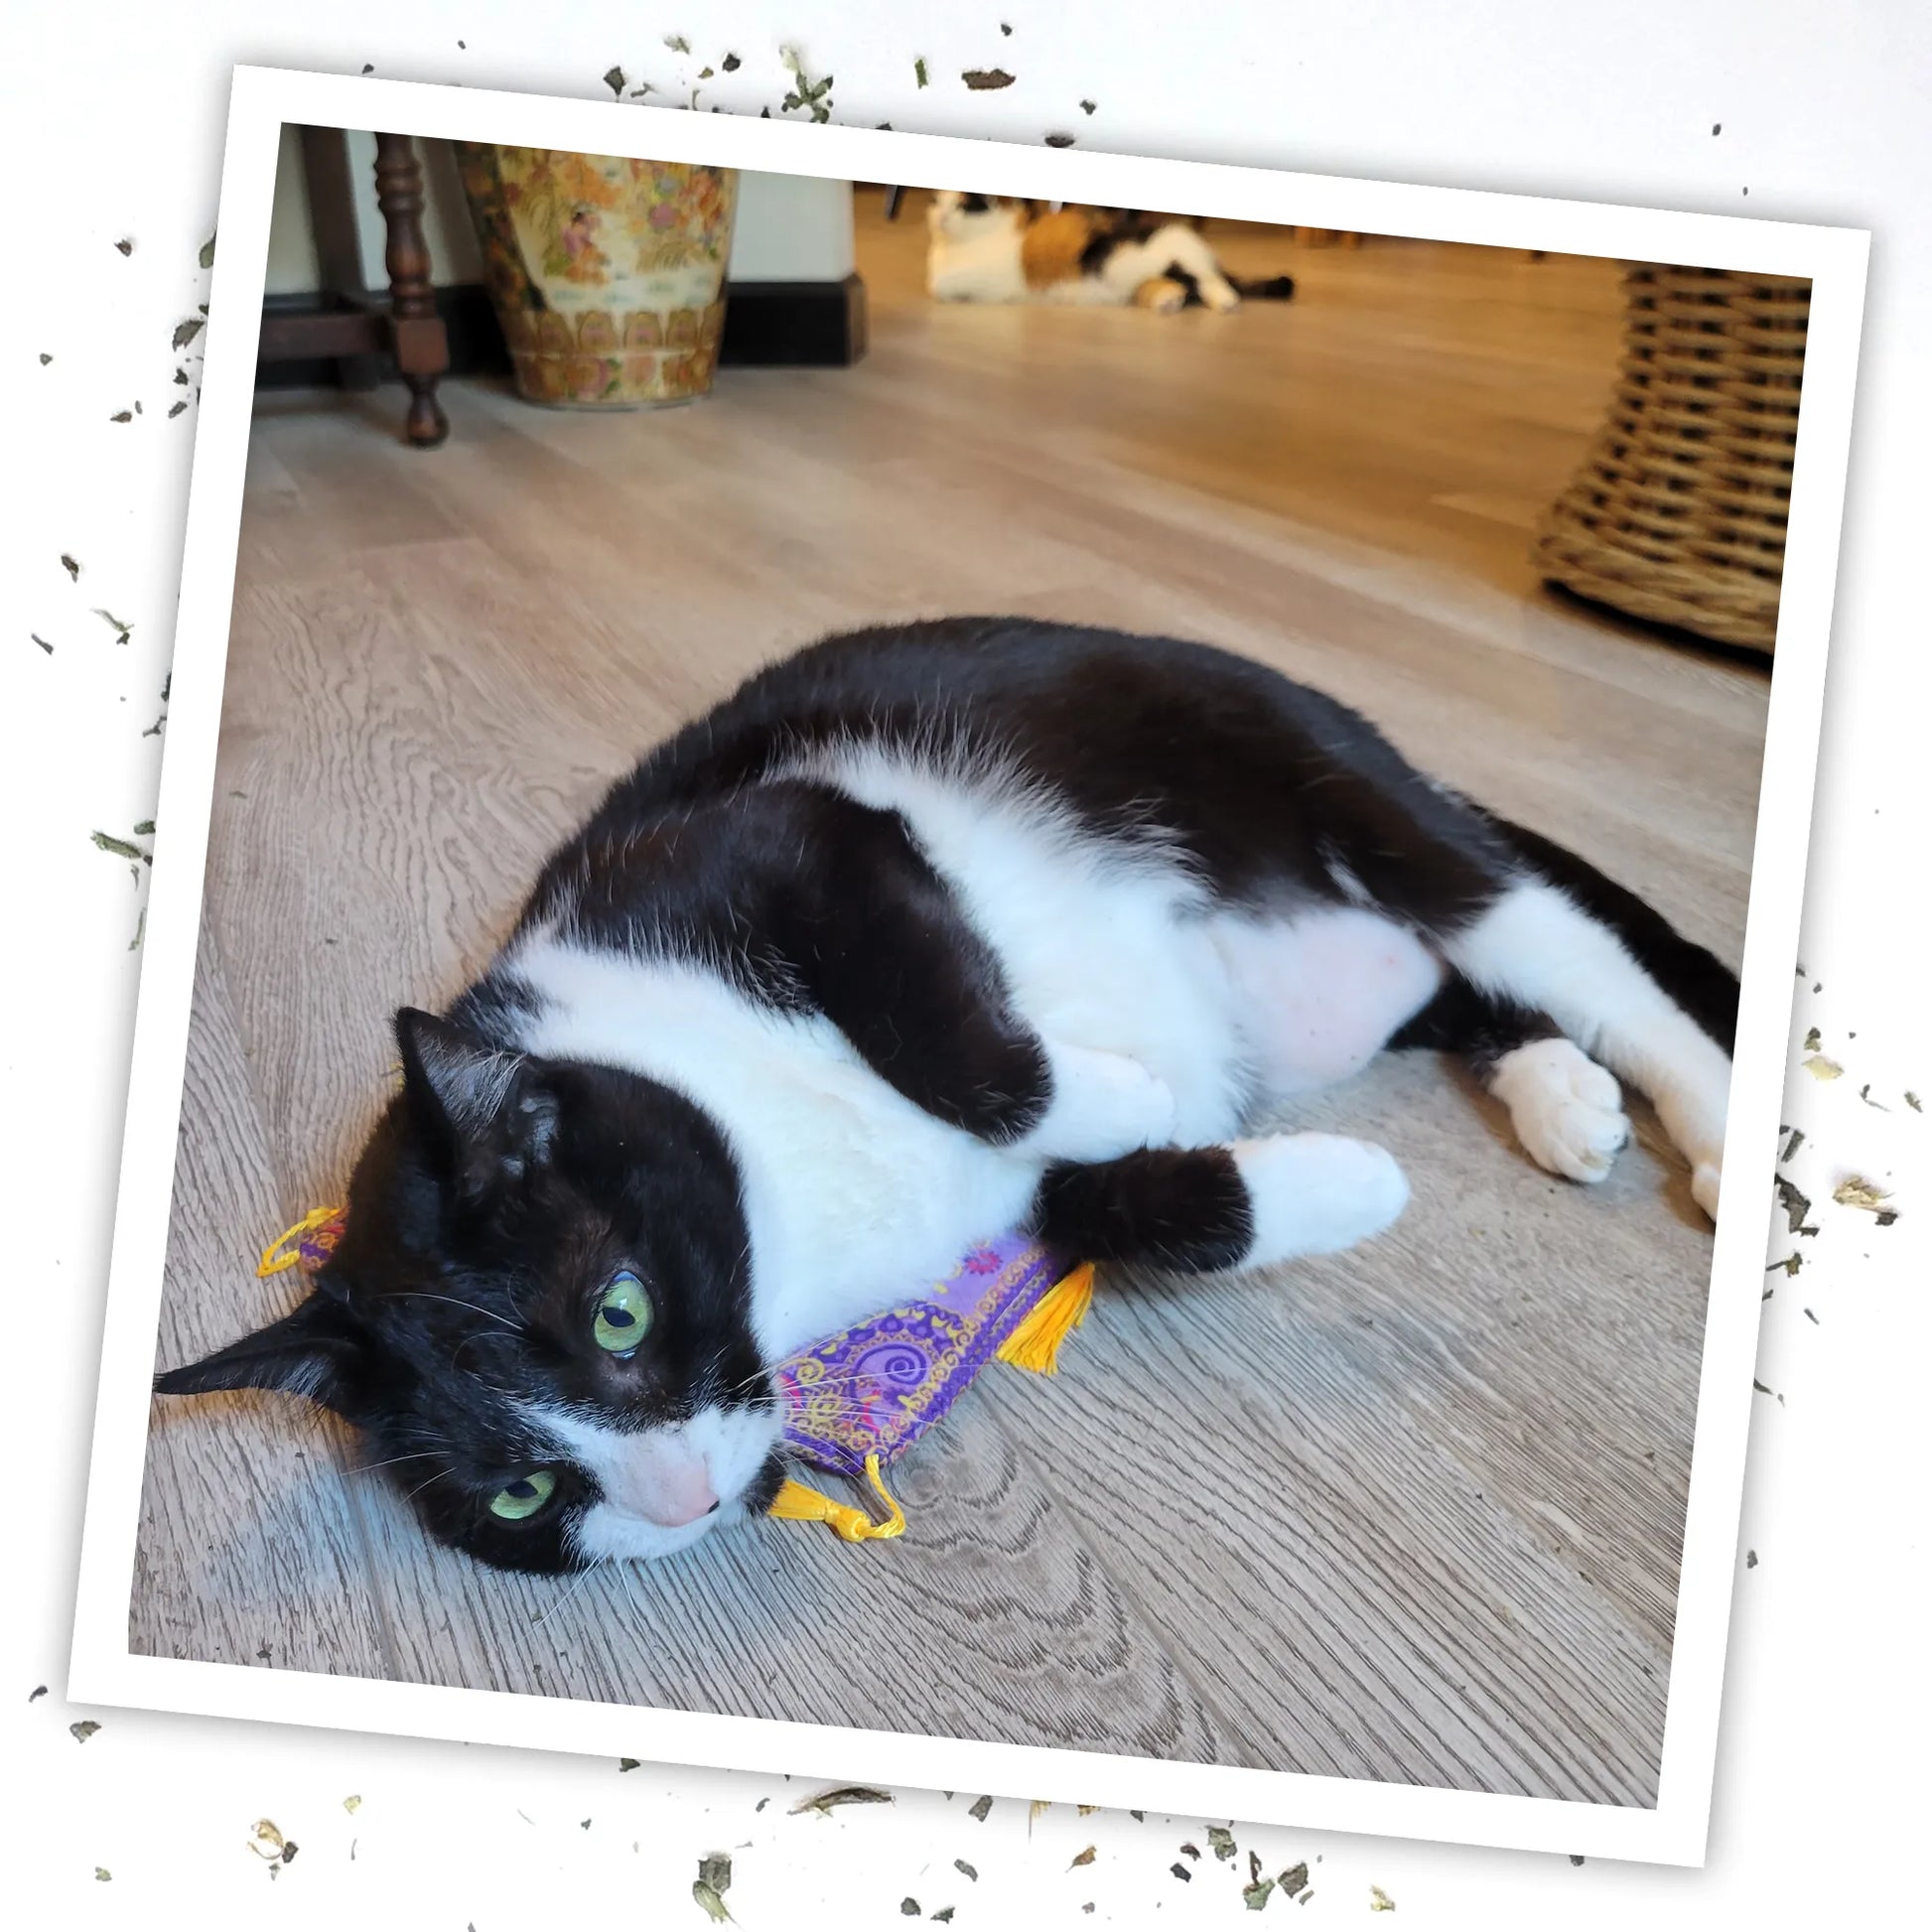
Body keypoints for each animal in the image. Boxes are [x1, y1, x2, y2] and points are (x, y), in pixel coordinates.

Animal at [158, 625, 1746, 1576]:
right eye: (514, 1497)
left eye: (618, 1312)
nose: (676, 1499)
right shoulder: (1035, 1195)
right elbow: (1153, 1203)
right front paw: (1341, 1178)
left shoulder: (798, 836)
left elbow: (989, 1062)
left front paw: (1127, 1082)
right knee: (1477, 989)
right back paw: (1558, 1092)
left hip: (1309, 777)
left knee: (1555, 938)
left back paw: (1716, 1126)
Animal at [923, 189, 1298, 313]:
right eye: (936, 201)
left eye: (962, 206)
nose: (940, 217)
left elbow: (940, 285)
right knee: (1182, 285)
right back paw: (1168, 300)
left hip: (1153, 251)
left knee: (1206, 275)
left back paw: (1225, 300)